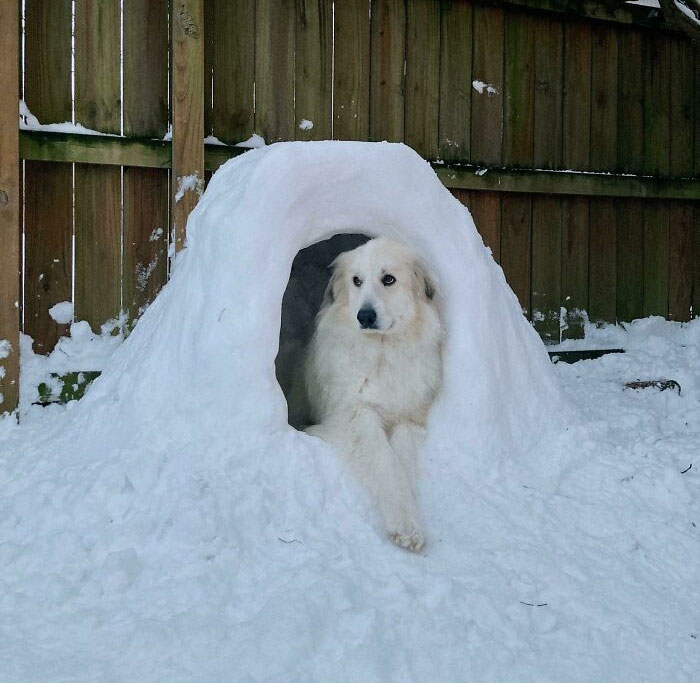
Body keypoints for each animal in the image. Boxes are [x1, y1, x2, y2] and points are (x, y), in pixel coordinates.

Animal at [304, 236, 440, 552]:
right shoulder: (356, 417)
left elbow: (401, 456)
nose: (364, 316)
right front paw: (405, 525)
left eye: (388, 279)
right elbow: (386, 463)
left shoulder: (410, 418)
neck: (382, 352)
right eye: (357, 281)